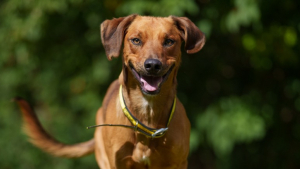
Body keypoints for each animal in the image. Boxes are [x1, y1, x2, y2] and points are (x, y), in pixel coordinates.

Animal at [15, 15, 205, 168]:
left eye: (169, 41)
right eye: (136, 40)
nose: (152, 65)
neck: (147, 118)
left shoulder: (176, 162)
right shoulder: (118, 162)